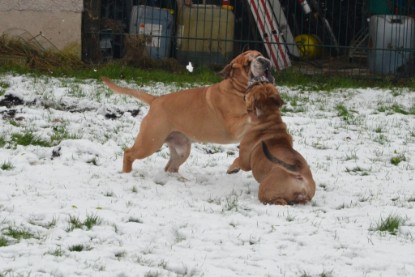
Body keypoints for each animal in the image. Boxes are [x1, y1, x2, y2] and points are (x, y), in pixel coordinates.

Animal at [102, 48, 274, 171]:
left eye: (260, 54)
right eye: (247, 64)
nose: (262, 60)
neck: (238, 89)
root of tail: (155, 100)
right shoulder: (234, 127)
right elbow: (248, 116)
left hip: (182, 149)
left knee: (171, 167)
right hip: (150, 142)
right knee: (128, 153)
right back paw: (127, 174)